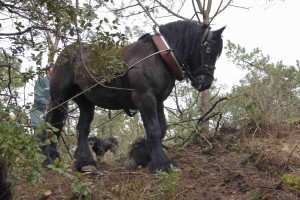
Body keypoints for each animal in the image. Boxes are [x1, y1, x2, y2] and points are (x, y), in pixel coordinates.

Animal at [41, 20, 225, 173]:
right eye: (210, 50)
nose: (206, 83)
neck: (159, 56)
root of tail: (65, 53)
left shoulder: (158, 100)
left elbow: (161, 128)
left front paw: (139, 156)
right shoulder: (144, 97)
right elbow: (154, 129)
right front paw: (162, 164)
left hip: (85, 101)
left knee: (82, 129)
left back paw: (85, 163)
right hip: (59, 98)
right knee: (54, 125)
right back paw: (49, 158)